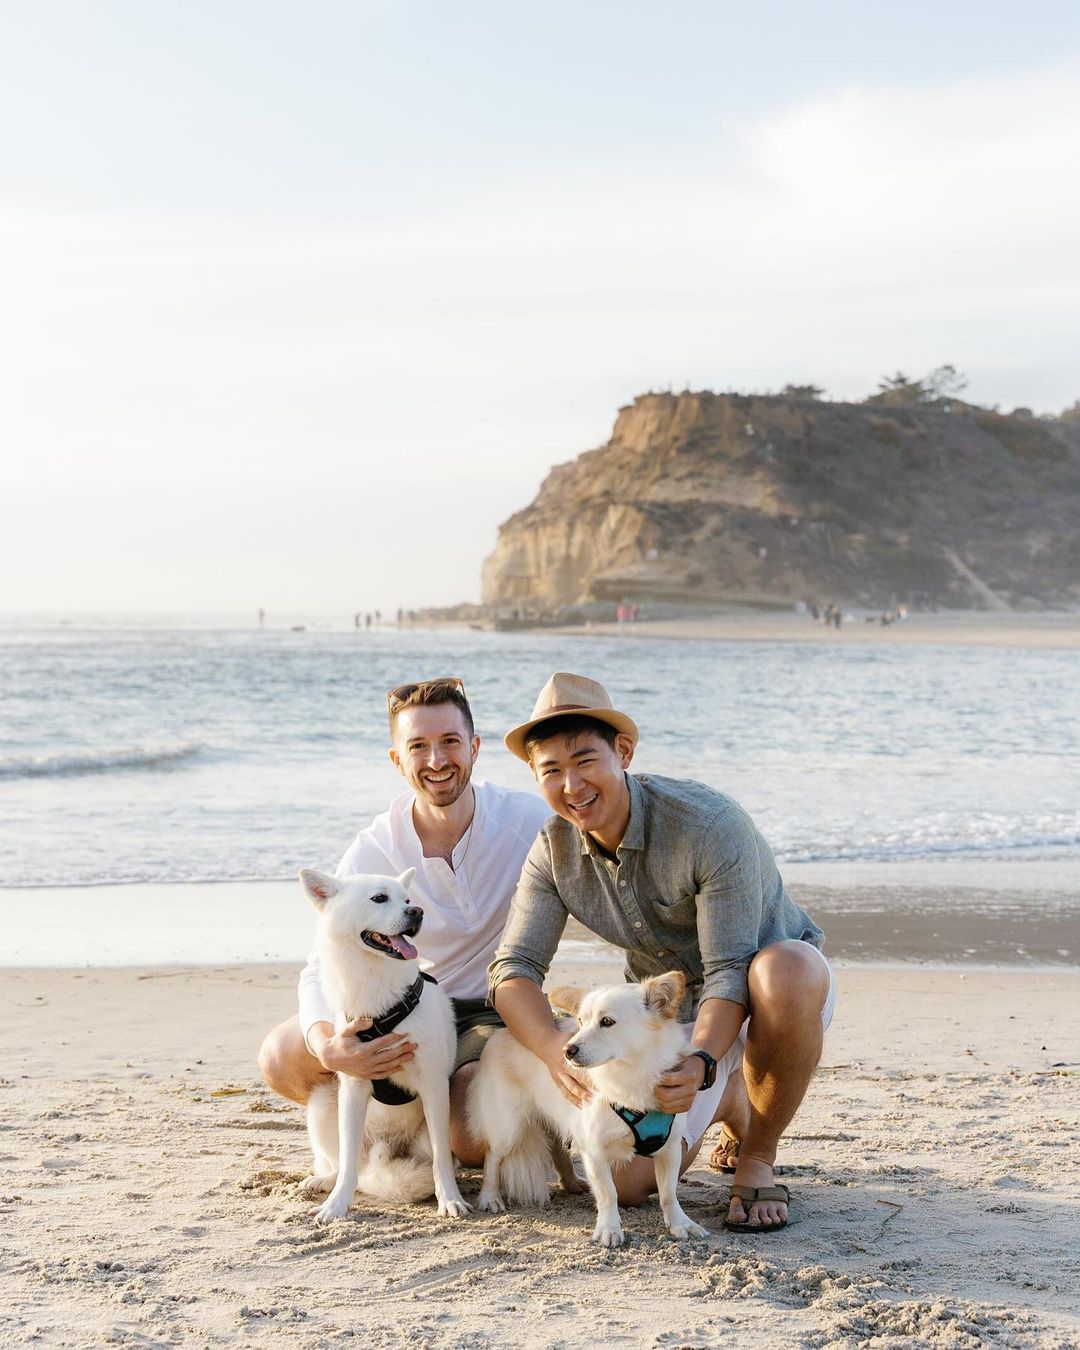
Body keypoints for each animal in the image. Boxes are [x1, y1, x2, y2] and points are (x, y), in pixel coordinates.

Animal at [298, 866, 469, 1224]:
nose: (417, 912)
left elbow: (442, 1161)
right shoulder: (353, 1087)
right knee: (349, 1165)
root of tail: (383, 1153)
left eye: (407, 899)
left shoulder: (434, 1087)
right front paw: (337, 1204)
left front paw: (450, 1199)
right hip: (323, 1106)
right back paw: (325, 1181)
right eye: (379, 898)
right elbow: (347, 1162)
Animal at [467, 971, 709, 1247]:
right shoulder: (595, 1152)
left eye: (607, 1022)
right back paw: (490, 1196)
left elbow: (669, 1192)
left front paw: (681, 1224)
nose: (566, 1050)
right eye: (581, 1022)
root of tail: (499, 1033)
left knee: (558, 1148)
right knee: (493, 1156)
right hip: (508, 1127)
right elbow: (609, 1193)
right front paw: (609, 1229)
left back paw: (572, 1182)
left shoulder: (669, 1149)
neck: (630, 1076)